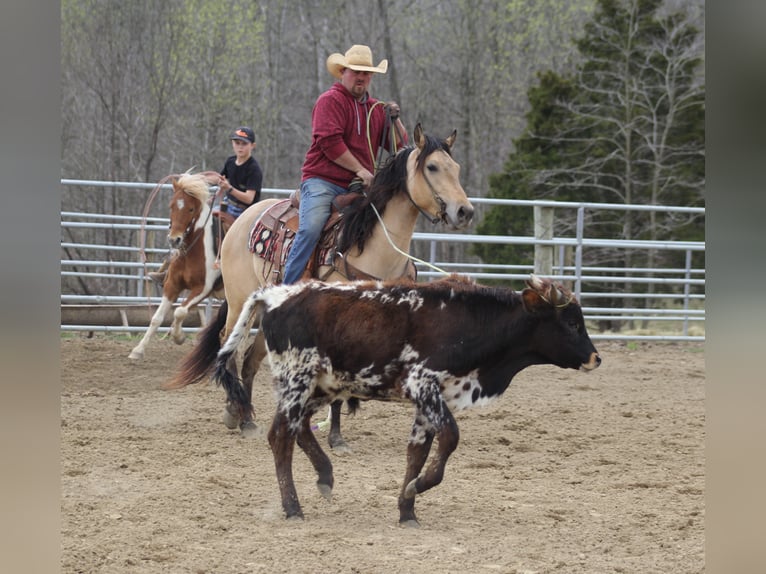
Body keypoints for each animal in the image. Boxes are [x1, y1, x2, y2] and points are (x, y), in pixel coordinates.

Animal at [128, 172, 225, 360]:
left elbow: (180, 311)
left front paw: (178, 337)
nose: (174, 240)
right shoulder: (172, 285)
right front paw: (138, 350)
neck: (192, 251)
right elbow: (157, 318)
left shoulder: (202, 289)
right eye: (171, 206)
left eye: (191, 209)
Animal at [168, 125, 474, 450]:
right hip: (240, 302)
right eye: (432, 167)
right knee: (228, 344)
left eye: (456, 168)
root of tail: (243, 219)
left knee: (251, 357)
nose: (465, 211)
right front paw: (336, 436)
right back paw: (234, 409)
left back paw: (248, 418)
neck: (369, 246)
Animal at [213, 274, 604, 528]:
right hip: (298, 380)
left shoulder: (430, 399)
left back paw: (325, 476)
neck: (469, 324)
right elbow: (450, 438)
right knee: (281, 436)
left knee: (299, 429)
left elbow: (417, 451)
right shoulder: (424, 385)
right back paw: (293, 508)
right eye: (572, 323)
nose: (595, 358)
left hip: (323, 385)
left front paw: (407, 510)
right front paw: (418, 488)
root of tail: (274, 295)